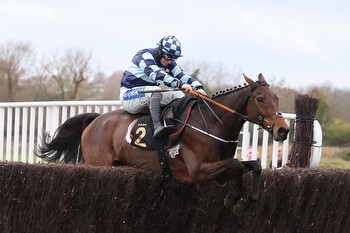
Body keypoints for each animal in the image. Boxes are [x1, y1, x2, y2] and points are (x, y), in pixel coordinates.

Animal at [37, 74, 290, 215]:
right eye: (260, 99)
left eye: (277, 98)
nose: (283, 130)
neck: (211, 123)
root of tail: (95, 120)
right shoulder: (198, 173)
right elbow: (237, 164)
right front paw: (234, 198)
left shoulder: (219, 171)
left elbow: (253, 165)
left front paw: (241, 201)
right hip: (99, 165)